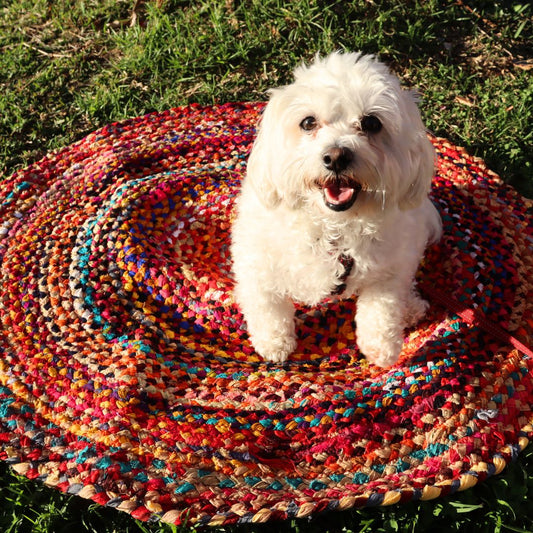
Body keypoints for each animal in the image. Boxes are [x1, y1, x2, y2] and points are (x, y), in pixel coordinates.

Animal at [229, 53, 440, 366]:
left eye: (371, 123)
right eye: (308, 122)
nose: (336, 157)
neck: (334, 227)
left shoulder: (390, 270)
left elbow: (382, 307)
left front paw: (382, 348)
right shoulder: (256, 259)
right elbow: (266, 303)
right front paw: (275, 343)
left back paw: (411, 308)